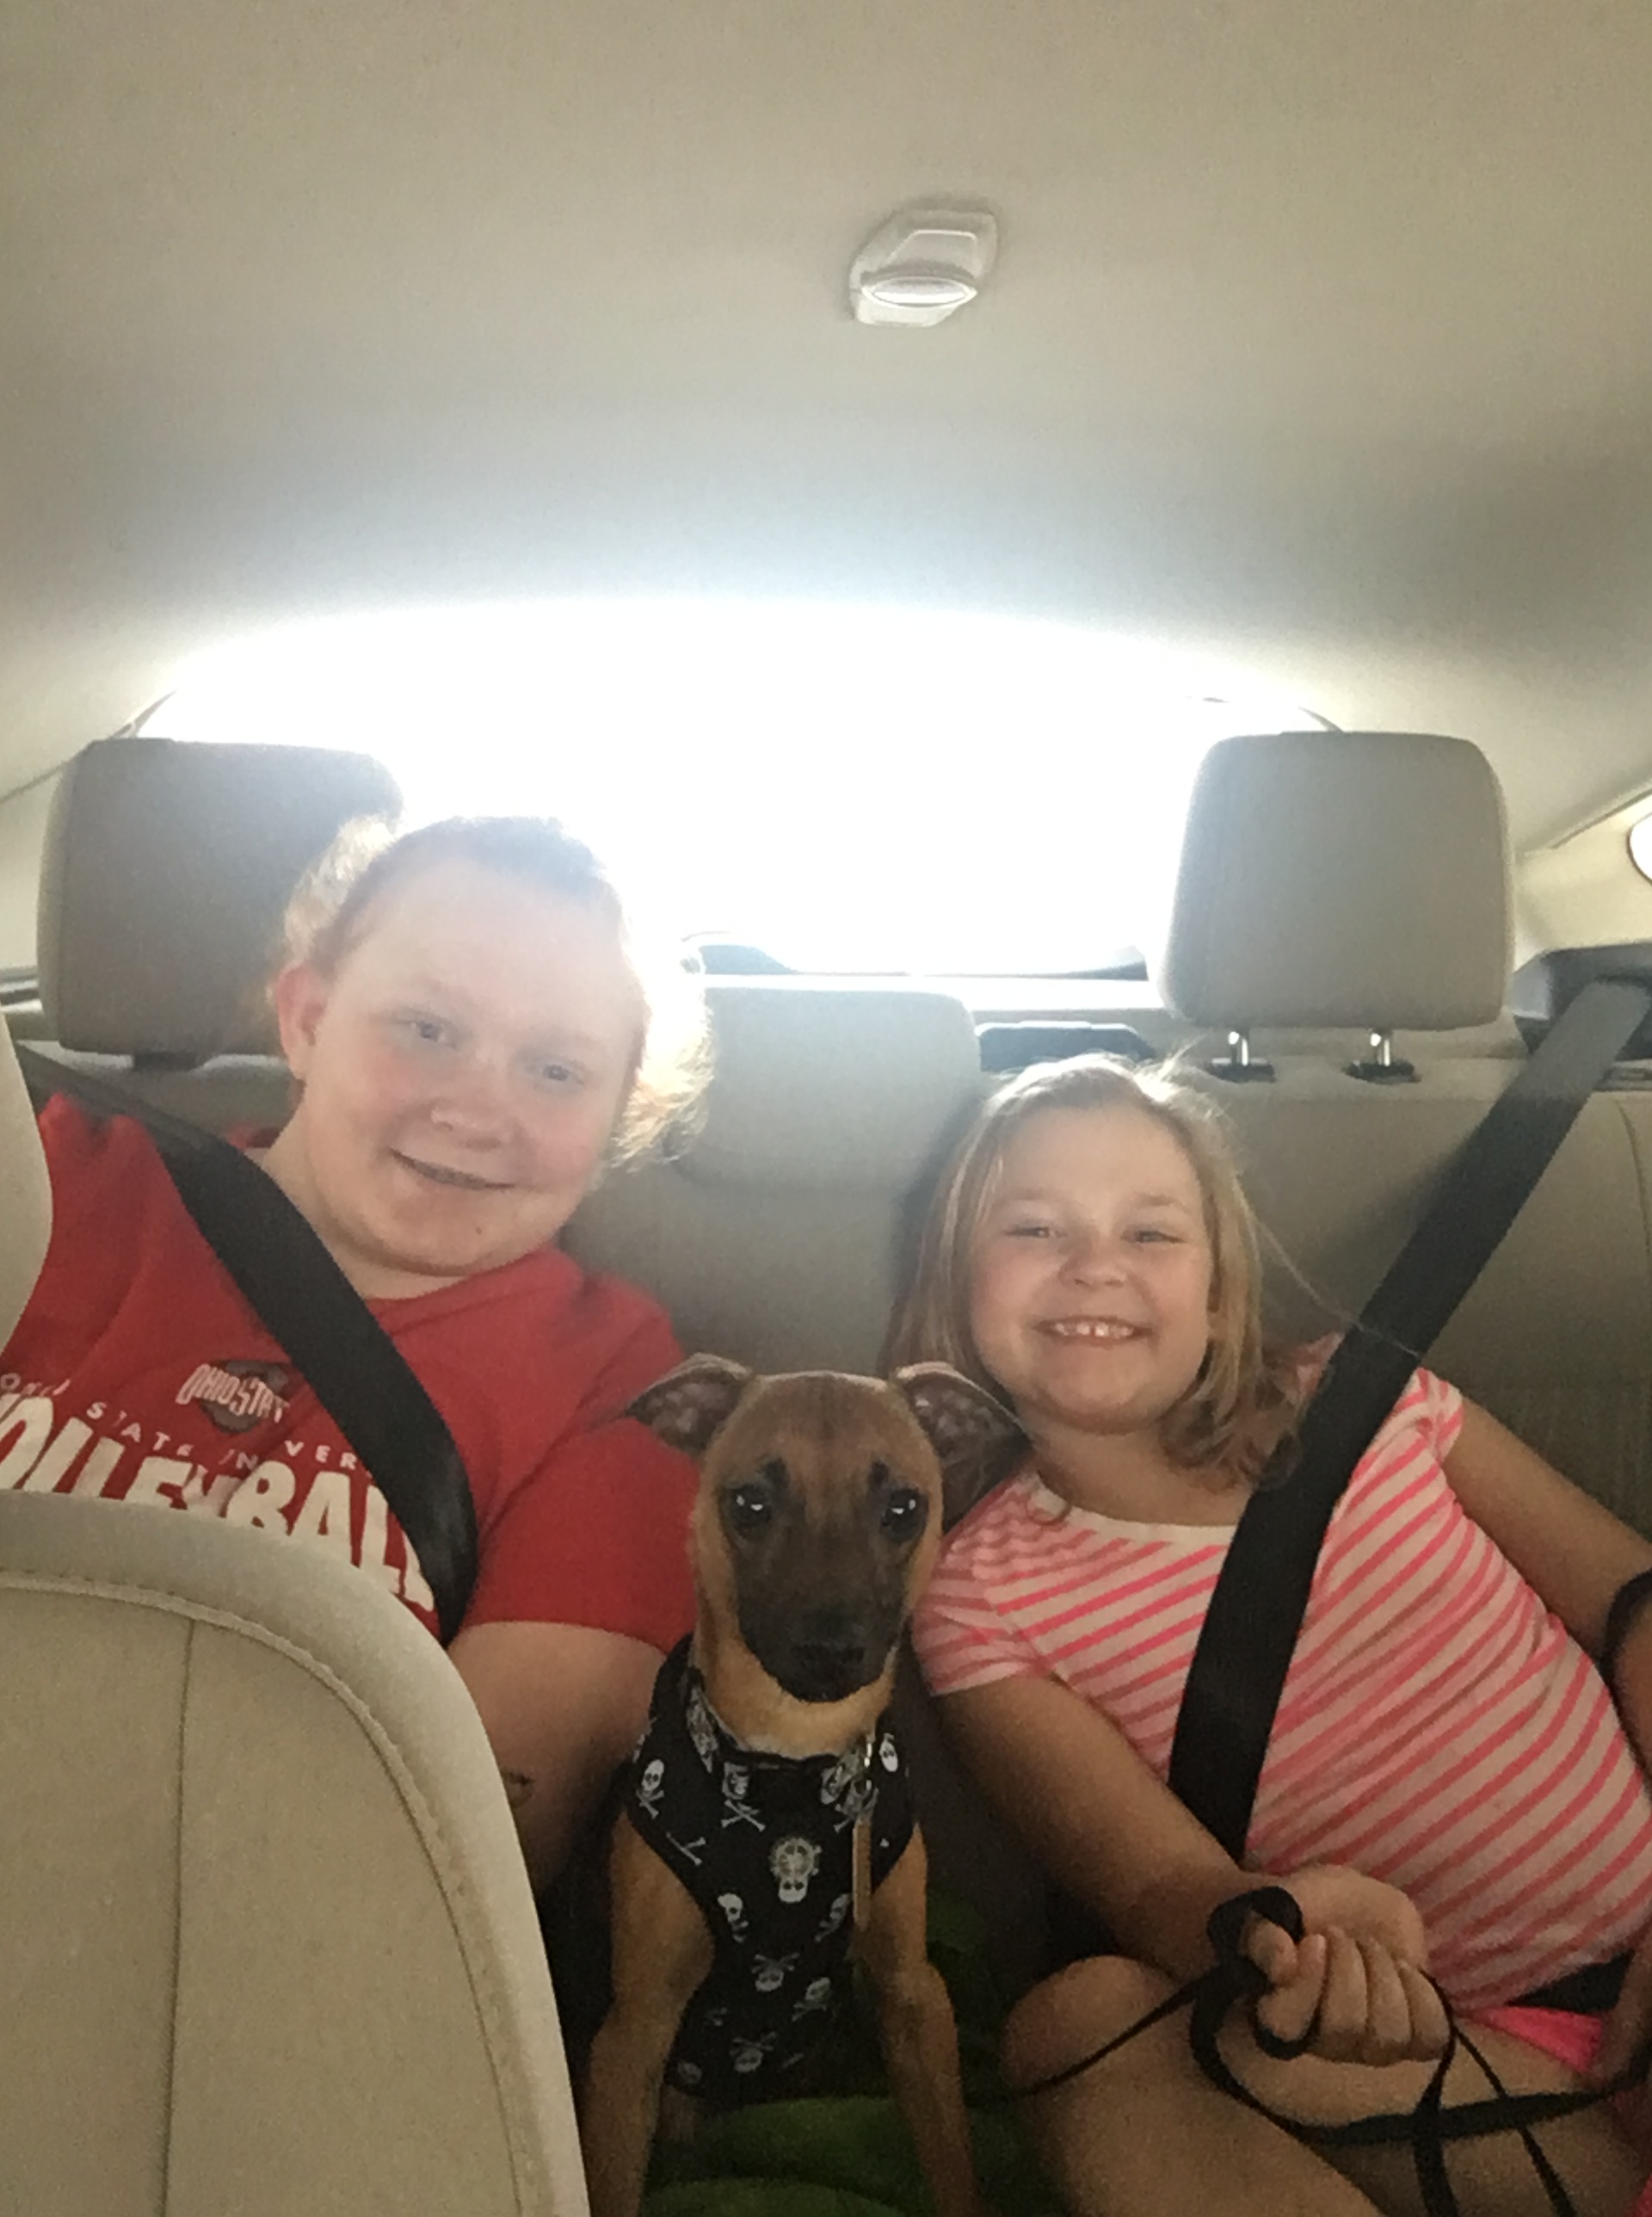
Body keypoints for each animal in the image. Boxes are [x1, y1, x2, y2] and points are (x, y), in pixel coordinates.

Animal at [579, 1355, 1024, 2217]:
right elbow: (608, 2182)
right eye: (750, 1503)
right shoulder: (632, 2036)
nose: (831, 1649)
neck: (788, 1772)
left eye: (903, 1508)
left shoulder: (915, 1998)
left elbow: (953, 2163)